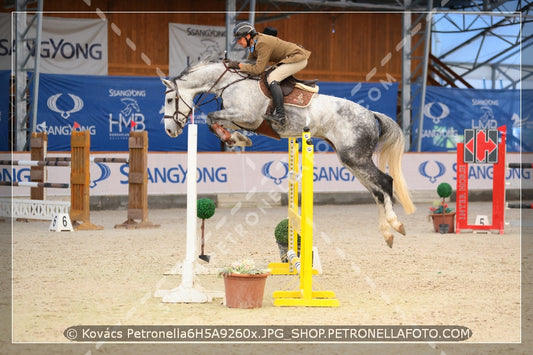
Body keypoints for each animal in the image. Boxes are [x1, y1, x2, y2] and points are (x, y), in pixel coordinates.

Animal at [161, 60, 416, 248]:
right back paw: (387, 234)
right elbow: (215, 122)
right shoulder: (238, 118)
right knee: (376, 191)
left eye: (170, 99)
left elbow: (211, 117)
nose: (169, 131)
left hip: (356, 158)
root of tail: (371, 113)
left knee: (386, 181)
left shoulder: (247, 116)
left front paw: (236, 139)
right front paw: (236, 139)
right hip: (350, 160)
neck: (229, 82)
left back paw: (396, 224)